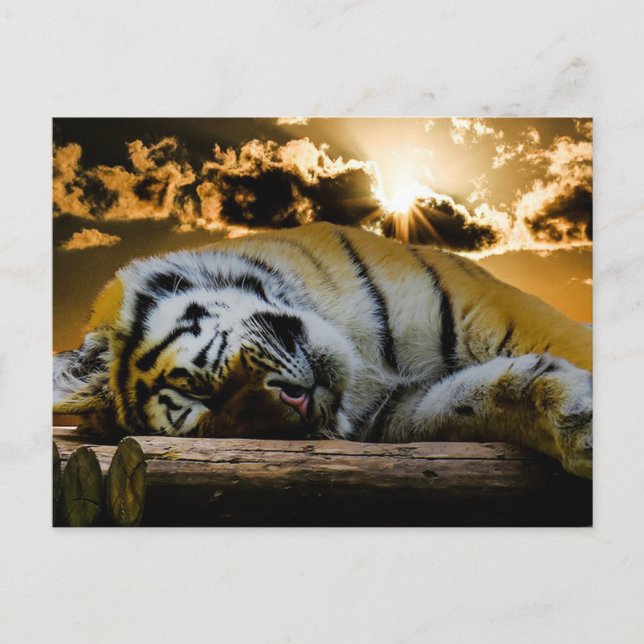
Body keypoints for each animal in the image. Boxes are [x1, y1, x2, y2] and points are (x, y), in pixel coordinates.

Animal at [53, 222, 592, 478]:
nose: (299, 406)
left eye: (198, 391)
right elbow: (477, 399)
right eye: (212, 421)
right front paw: (574, 417)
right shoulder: (402, 411)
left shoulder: (488, 308)